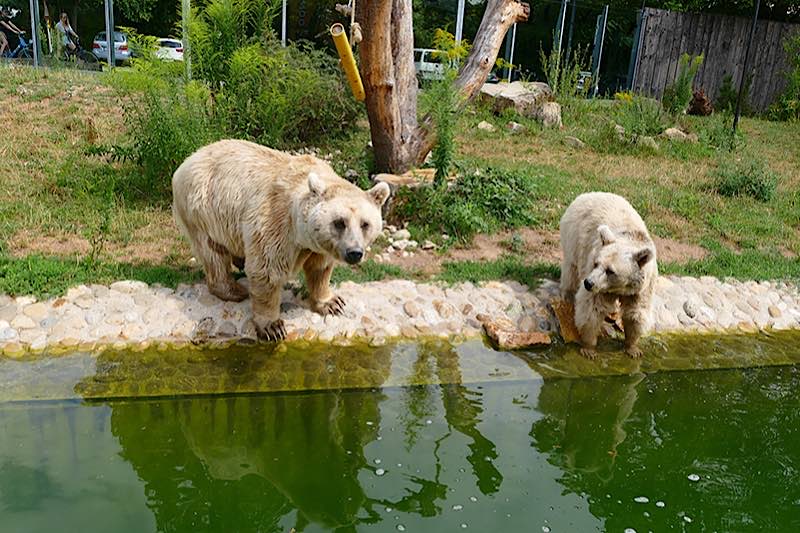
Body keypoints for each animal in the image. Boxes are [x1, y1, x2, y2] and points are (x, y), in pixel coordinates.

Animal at [173, 140, 390, 340]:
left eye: (365, 224)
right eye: (339, 222)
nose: (354, 253)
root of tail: (189, 159)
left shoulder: (319, 246)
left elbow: (320, 269)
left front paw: (332, 302)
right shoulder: (276, 223)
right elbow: (267, 271)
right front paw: (272, 326)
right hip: (204, 208)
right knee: (213, 252)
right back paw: (234, 290)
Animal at [560, 191, 660, 358]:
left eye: (610, 271)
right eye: (596, 263)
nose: (588, 283)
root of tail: (589, 194)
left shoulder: (642, 287)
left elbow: (636, 313)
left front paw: (633, 348)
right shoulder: (599, 285)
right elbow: (592, 308)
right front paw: (589, 348)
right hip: (574, 236)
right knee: (571, 270)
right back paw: (567, 294)